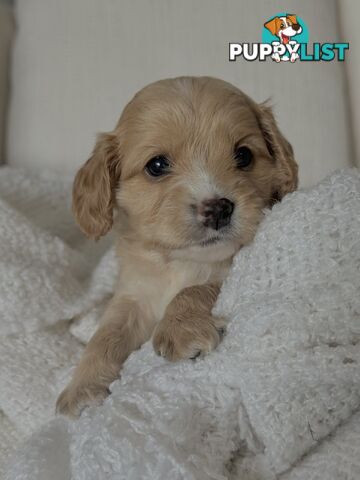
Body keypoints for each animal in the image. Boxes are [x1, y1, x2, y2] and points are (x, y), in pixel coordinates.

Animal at [56, 75, 298, 416]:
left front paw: (181, 329)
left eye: (244, 155)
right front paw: (82, 386)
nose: (218, 208)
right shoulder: (133, 295)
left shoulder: (235, 270)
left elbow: (197, 289)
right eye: (157, 165)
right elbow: (106, 334)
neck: (181, 262)